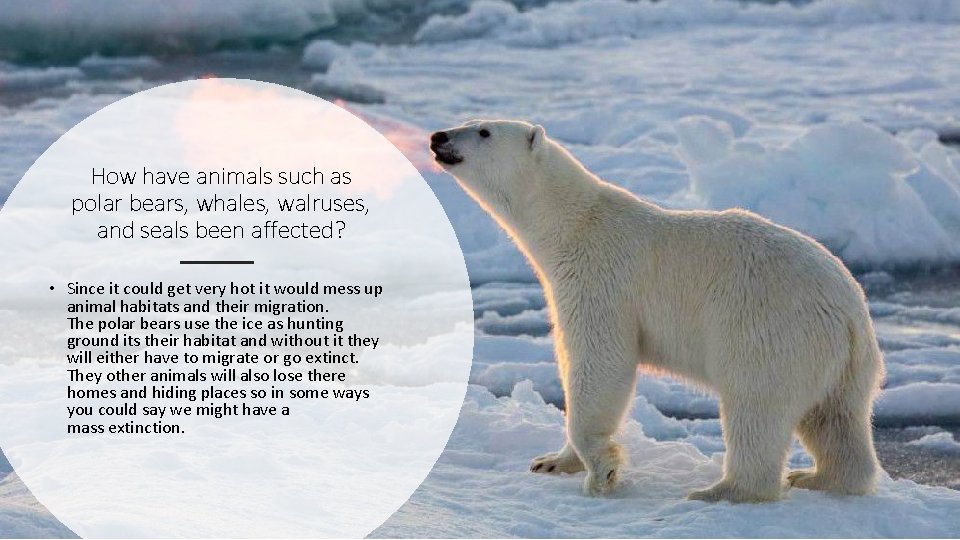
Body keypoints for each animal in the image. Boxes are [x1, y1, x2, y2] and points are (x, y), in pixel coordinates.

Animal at [430, 119, 884, 502]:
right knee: (835, 419)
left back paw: (721, 490)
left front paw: (602, 472)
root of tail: (850, 315)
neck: (572, 224)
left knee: (756, 407)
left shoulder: (600, 278)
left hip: (770, 330)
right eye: (469, 120)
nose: (438, 137)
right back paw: (818, 477)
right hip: (843, 364)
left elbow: (600, 361)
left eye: (483, 131)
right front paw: (551, 462)